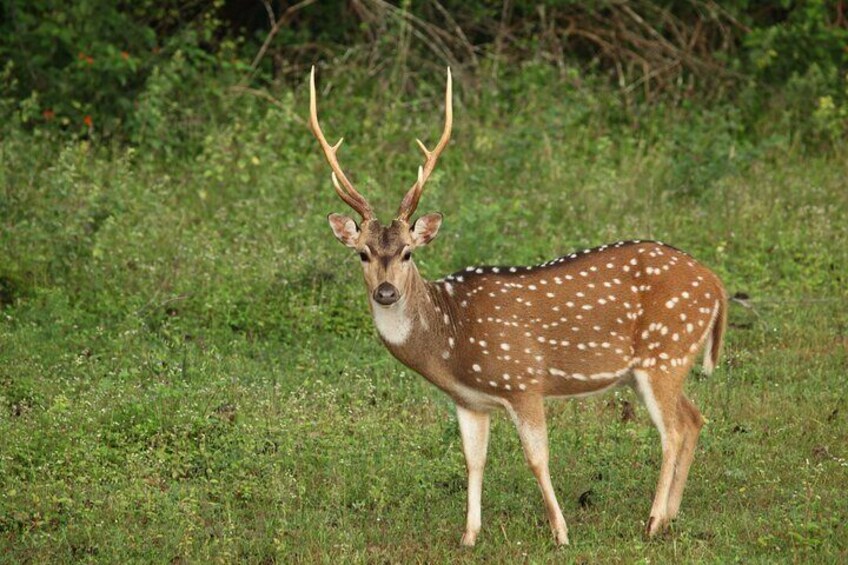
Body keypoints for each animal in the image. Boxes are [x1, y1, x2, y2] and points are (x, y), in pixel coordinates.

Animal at [308, 67, 724, 548]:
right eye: (362, 254)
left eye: (408, 252)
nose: (387, 292)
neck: (452, 338)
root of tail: (716, 284)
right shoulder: (469, 401)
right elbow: (473, 460)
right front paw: (469, 535)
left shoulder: (523, 380)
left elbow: (537, 458)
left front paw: (561, 533)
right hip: (655, 366)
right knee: (694, 418)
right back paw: (670, 516)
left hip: (666, 352)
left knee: (672, 431)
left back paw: (653, 521)